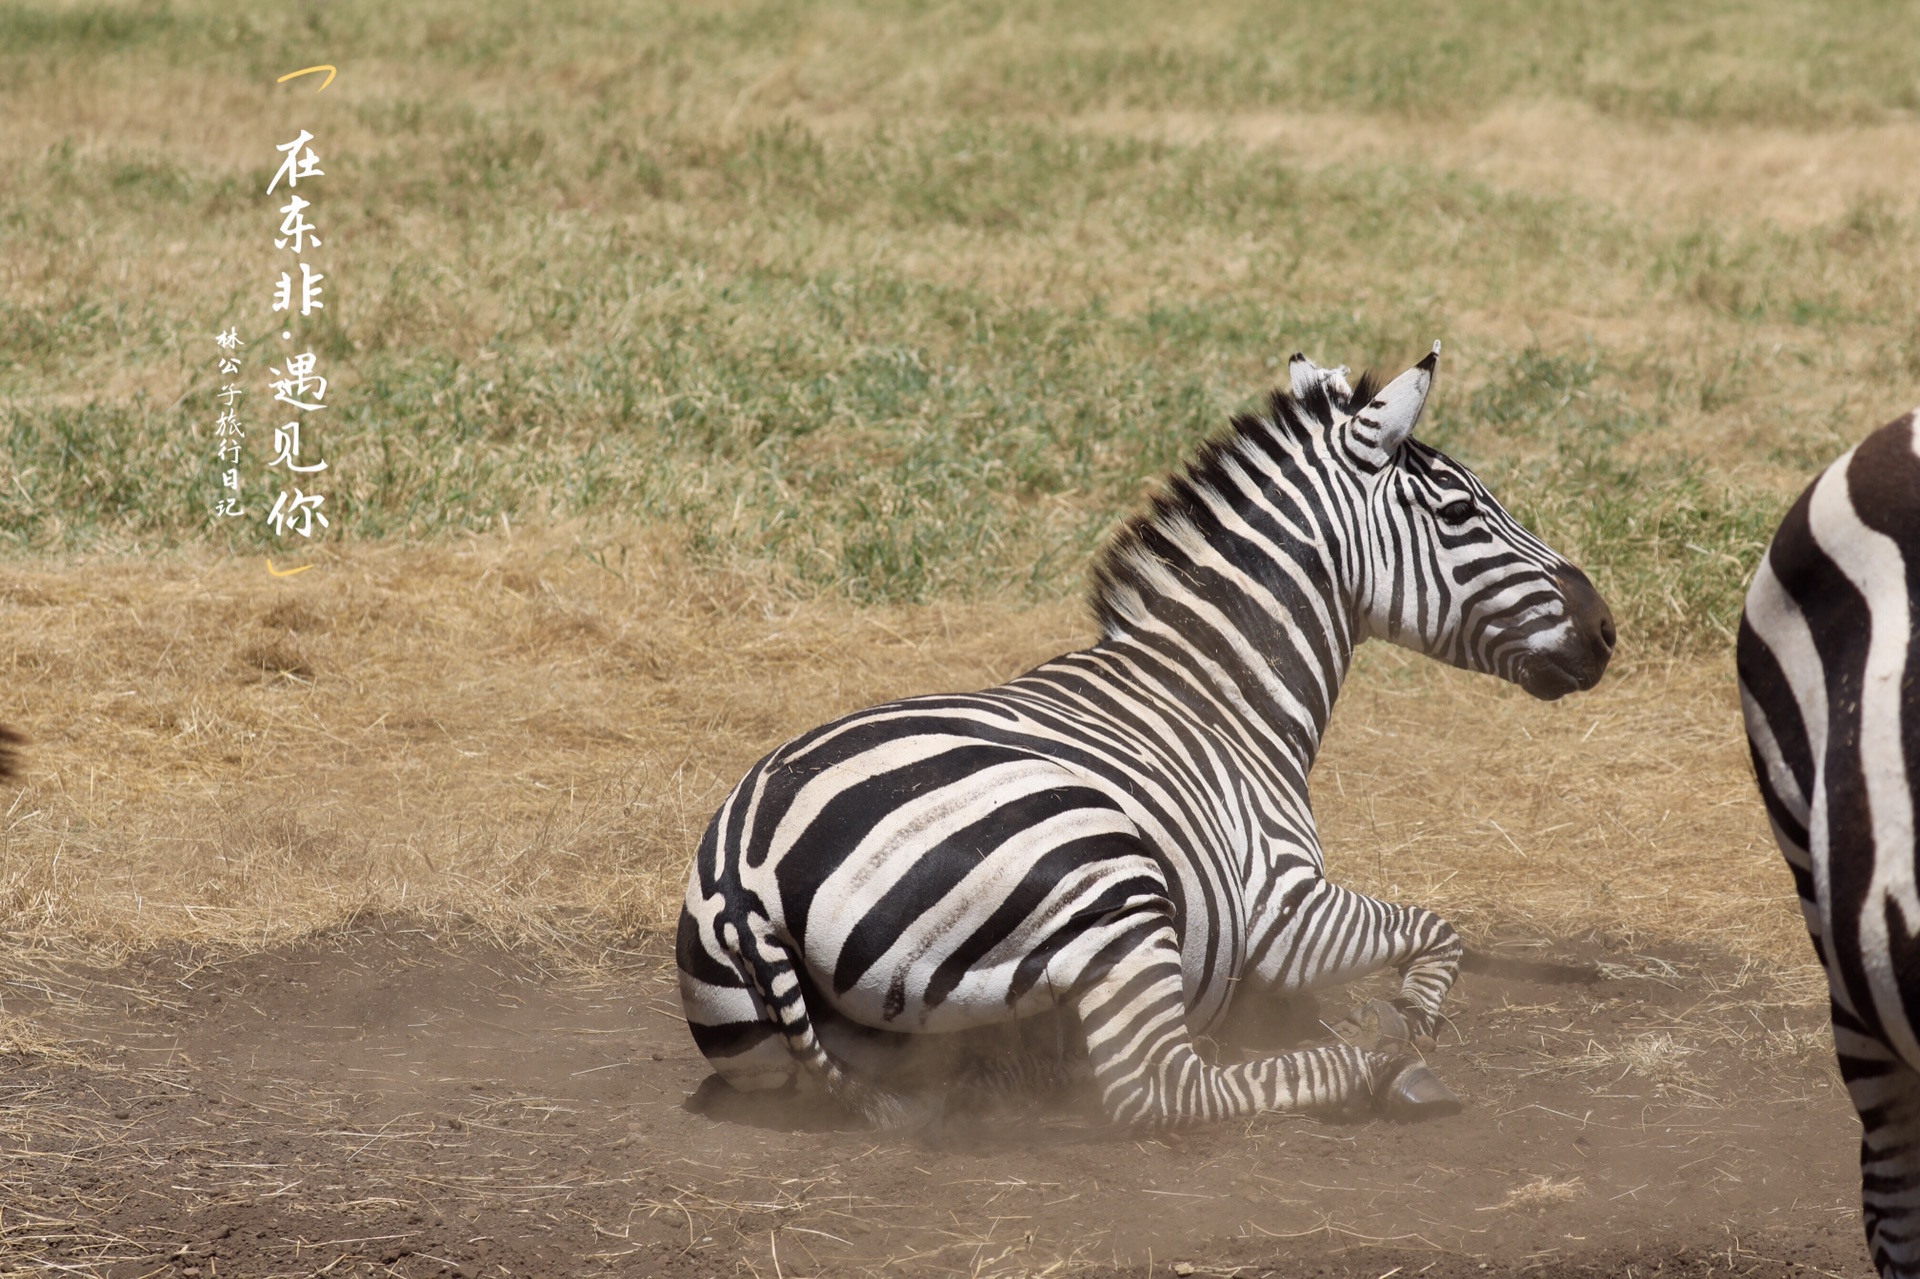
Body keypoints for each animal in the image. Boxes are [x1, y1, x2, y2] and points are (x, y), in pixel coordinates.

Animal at [683, 341, 1612, 1129]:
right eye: (1459, 510)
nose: (1605, 628)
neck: (1220, 692)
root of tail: (743, 874)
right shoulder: (1286, 909)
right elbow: (1439, 929)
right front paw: (1406, 1027)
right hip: (1106, 874)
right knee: (1161, 1086)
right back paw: (1370, 1070)